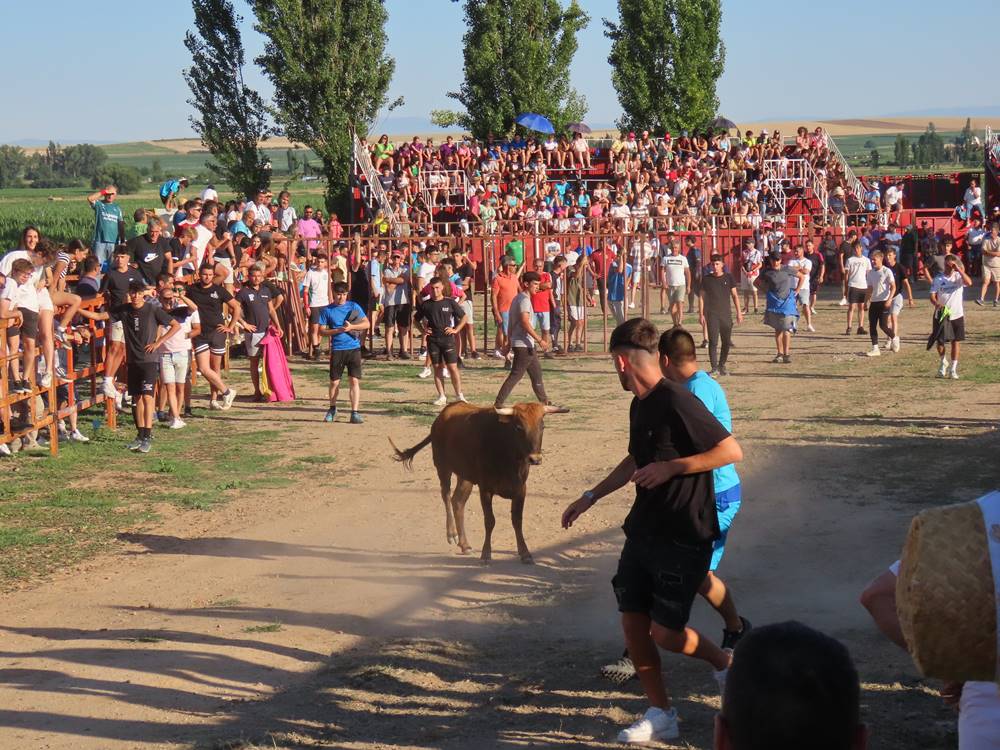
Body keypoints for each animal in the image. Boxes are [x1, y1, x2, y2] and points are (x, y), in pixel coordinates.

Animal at [386, 406, 568, 564]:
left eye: (542, 426)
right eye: (518, 427)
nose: (535, 459)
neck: (507, 452)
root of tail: (443, 414)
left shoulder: (520, 490)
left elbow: (517, 520)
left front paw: (525, 553)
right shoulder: (485, 489)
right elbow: (490, 521)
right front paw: (486, 555)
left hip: (465, 477)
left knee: (457, 502)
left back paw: (465, 545)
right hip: (443, 467)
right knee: (446, 496)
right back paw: (452, 534)